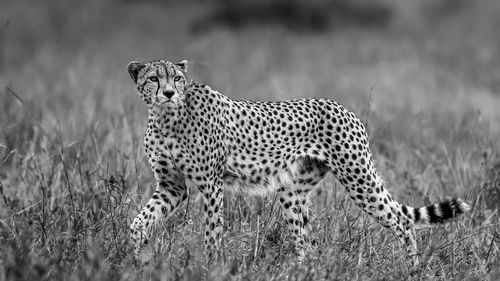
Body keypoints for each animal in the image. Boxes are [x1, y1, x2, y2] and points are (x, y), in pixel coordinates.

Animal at [127, 58, 470, 262]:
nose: (168, 93)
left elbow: (212, 230)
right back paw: (303, 268)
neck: (167, 117)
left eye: (177, 78)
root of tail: (344, 107)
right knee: (307, 242)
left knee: (401, 220)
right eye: (154, 78)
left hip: (358, 178)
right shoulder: (171, 186)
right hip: (291, 192)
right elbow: (139, 221)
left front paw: (211, 264)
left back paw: (410, 267)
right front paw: (137, 256)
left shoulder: (210, 184)